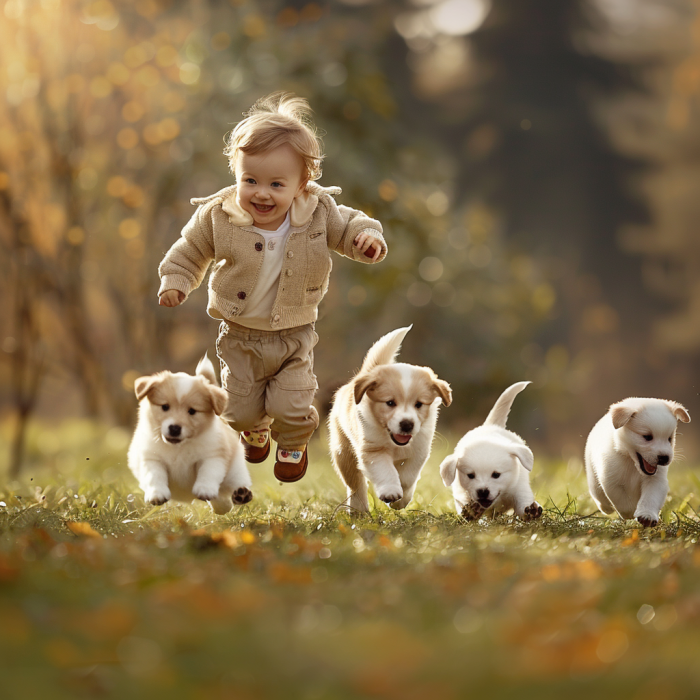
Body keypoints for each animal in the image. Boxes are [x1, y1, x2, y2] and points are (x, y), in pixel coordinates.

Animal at [127, 356, 253, 516]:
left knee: (231, 487)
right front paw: (157, 494)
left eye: (192, 411)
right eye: (165, 407)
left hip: (234, 471)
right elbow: (154, 476)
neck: (178, 447)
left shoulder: (212, 455)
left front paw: (205, 489)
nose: (174, 428)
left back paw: (240, 495)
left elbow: (208, 473)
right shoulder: (151, 458)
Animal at [330, 326, 452, 512]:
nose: (407, 424)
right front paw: (391, 493)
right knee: (356, 486)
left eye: (419, 404)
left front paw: (400, 501)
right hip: (343, 452)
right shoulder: (372, 449)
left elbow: (407, 477)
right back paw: (359, 511)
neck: (394, 444)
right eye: (389, 403)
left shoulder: (419, 450)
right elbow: (385, 471)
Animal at [438, 382, 540, 520]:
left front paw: (531, 512)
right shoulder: (461, 494)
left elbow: (522, 504)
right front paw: (471, 512)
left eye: (496, 474)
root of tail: (491, 425)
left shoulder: (519, 488)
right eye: (470, 475)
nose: (483, 491)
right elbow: (465, 506)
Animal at [584, 396, 688, 528]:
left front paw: (647, 515)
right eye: (647, 437)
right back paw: (605, 507)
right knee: (599, 496)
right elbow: (622, 502)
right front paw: (631, 512)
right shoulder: (610, 480)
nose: (665, 458)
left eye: (670, 438)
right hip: (593, 479)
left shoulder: (656, 480)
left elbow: (651, 498)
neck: (631, 463)